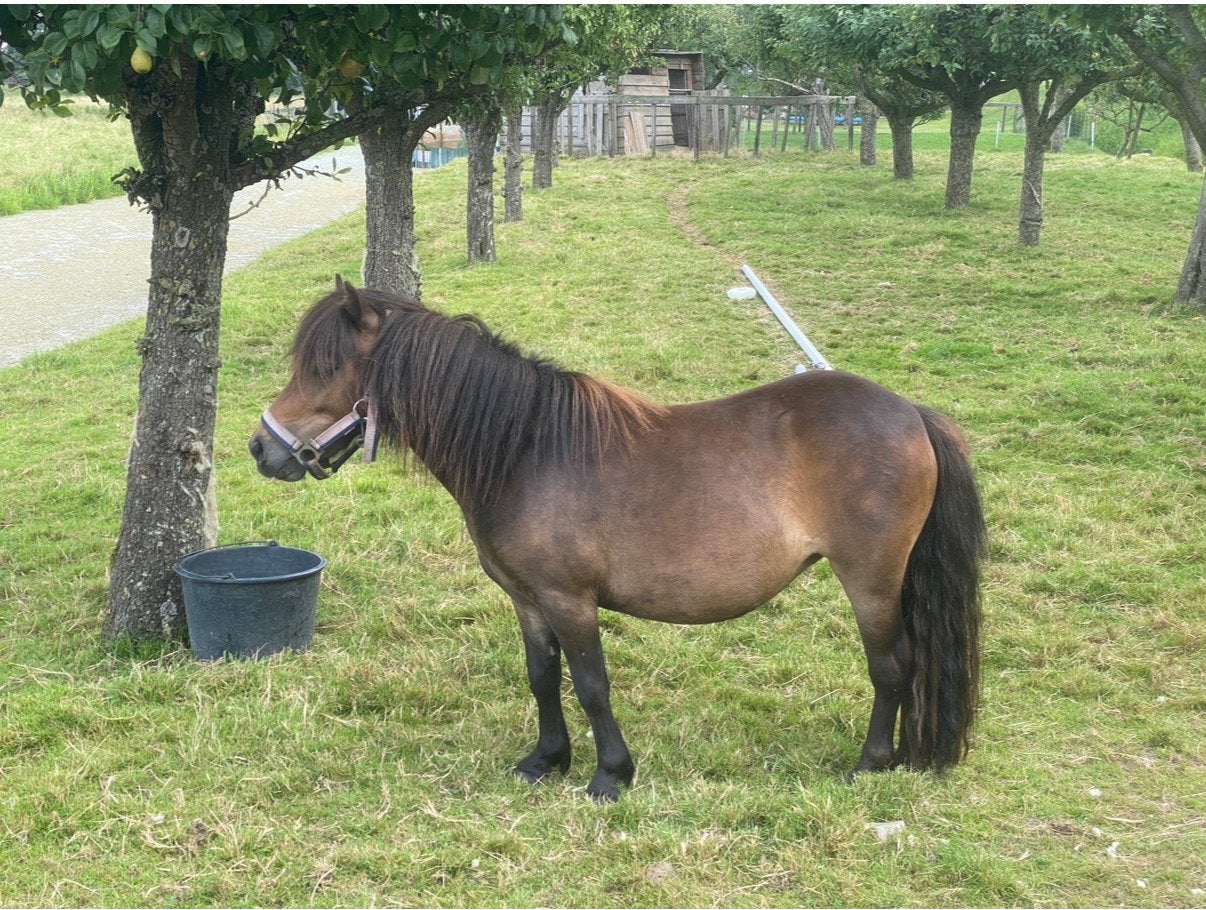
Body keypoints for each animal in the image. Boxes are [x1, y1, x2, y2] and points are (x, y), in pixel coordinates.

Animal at [249, 277, 987, 802]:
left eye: (325, 369)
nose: (262, 449)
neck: (526, 449)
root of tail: (912, 414)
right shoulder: (527, 598)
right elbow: (542, 677)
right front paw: (544, 761)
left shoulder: (569, 599)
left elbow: (591, 683)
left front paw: (610, 776)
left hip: (871, 579)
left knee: (892, 666)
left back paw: (871, 764)